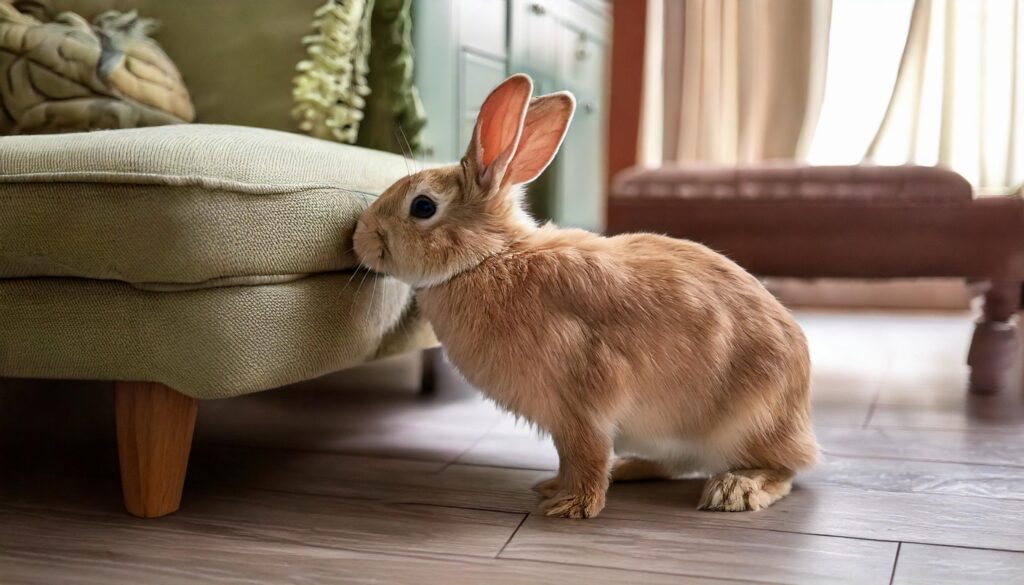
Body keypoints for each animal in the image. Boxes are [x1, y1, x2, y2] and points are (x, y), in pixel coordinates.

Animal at [356, 74, 819, 522]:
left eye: (422, 206)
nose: (360, 236)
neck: (489, 258)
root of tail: (801, 417)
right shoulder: (565, 421)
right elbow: (568, 458)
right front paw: (552, 487)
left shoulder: (583, 403)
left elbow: (586, 455)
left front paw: (571, 506)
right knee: (680, 462)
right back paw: (630, 467)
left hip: (747, 422)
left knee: (784, 470)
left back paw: (736, 489)